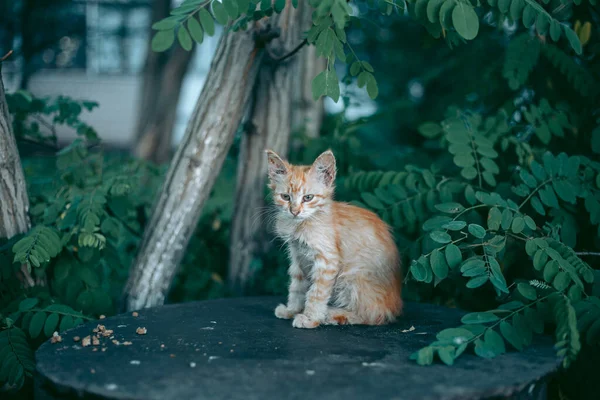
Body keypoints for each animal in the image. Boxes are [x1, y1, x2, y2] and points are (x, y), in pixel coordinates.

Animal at [268, 149, 404, 328]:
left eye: (308, 197)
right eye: (285, 197)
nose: (295, 211)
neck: (302, 224)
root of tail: (396, 305)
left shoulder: (327, 260)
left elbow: (316, 293)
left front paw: (310, 318)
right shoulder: (298, 258)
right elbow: (297, 287)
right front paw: (292, 310)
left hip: (351, 276)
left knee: (374, 315)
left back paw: (332, 314)